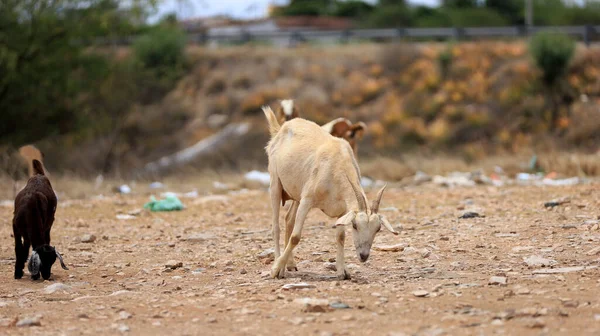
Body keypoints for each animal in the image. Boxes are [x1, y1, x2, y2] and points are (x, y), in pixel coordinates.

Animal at [264, 106, 398, 280]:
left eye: (378, 229)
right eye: (355, 225)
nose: (363, 256)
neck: (337, 165)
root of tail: (279, 130)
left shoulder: (342, 210)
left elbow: (340, 237)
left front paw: (342, 271)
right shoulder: (307, 200)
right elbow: (296, 237)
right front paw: (275, 270)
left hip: (296, 195)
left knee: (288, 220)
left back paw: (291, 264)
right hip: (275, 183)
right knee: (276, 226)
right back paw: (278, 265)